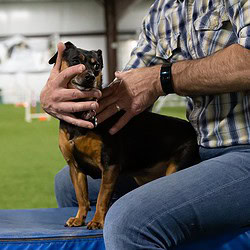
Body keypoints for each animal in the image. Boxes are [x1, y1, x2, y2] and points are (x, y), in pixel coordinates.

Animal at [48, 41, 200, 230]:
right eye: (75, 60)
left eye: (96, 66)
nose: (90, 76)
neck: (79, 116)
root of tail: (192, 131)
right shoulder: (75, 168)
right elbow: (81, 196)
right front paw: (79, 218)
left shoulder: (110, 166)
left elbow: (102, 197)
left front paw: (97, 221)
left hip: (177, 167)